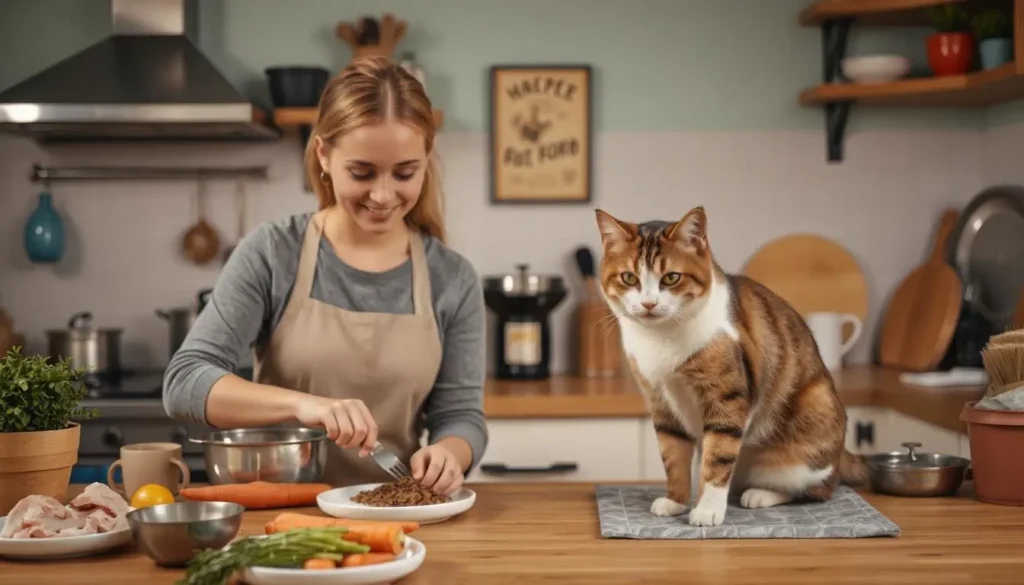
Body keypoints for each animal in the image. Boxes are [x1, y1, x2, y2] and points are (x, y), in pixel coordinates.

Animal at [593, 204, 864, 524]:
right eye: (628, 278)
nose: (649, 304)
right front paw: (675, 500)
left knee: (817, 489)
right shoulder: (660, 401)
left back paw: (761, 494)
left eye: (671, 278)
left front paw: (707, 510)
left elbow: (718, 456)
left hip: (810, 429)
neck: (661, 340)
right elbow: (673, 455)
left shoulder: (726, 398)